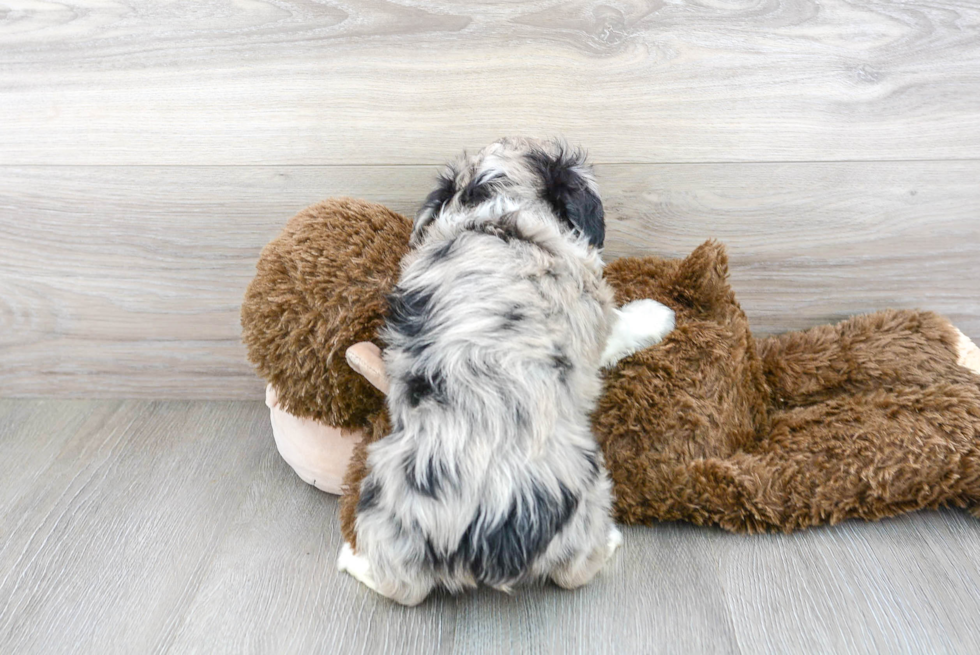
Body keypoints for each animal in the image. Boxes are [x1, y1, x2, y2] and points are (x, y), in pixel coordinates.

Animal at [338, 137, 672, 604]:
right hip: (584, 497)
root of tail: (481, 526)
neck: (493, 209)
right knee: (575, 571)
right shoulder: (594, 311)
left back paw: (352, 558)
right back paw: (611, 540)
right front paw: (659, 314)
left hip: (386, 507)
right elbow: (623, 324)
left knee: (402, 585)